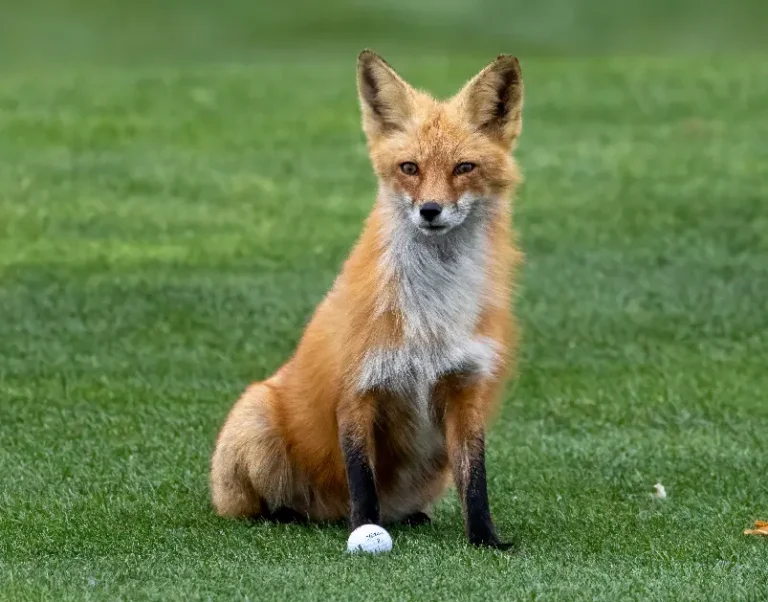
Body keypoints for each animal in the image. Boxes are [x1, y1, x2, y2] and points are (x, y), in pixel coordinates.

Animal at [210, 50, 524, 549]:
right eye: (409, 168)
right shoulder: (357, 389)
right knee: (267, 508)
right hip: (255, 423)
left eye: (464, 168)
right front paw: (364, 532)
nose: (430, 211)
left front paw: (486, 540)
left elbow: (475, 477)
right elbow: (362, 478)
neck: (429, 316)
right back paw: (291, 516)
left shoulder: (465, 387)